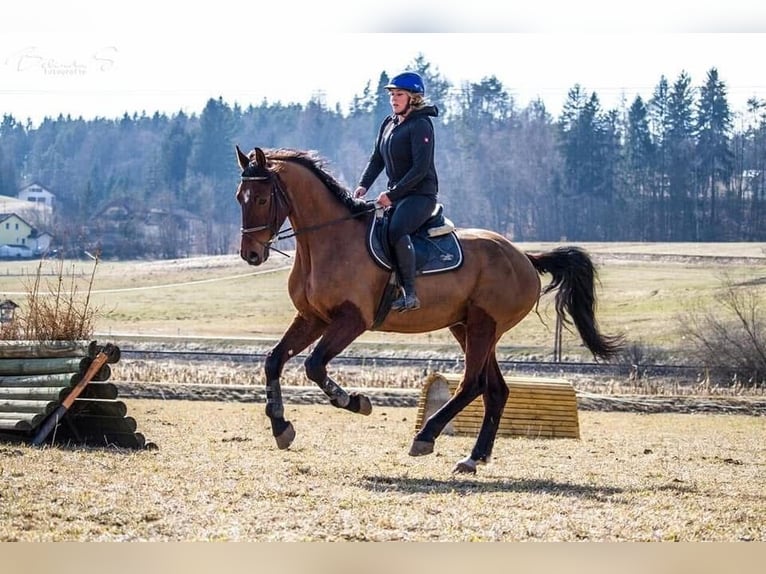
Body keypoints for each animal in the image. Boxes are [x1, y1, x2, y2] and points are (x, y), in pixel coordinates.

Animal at [235, 145, 624, 474]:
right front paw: (280, 426)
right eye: (241, 197)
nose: (251, 254)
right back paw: (473, 458)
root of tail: (524, 257)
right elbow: (273, 360)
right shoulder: (313, 318)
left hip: (483, 325)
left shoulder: (352, 320)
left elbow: (315, 366)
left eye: (263, 198)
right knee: (495, 389)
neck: (327, 241)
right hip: (467, 327)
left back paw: (426, 436)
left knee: (472, 383)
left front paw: (355, 401)